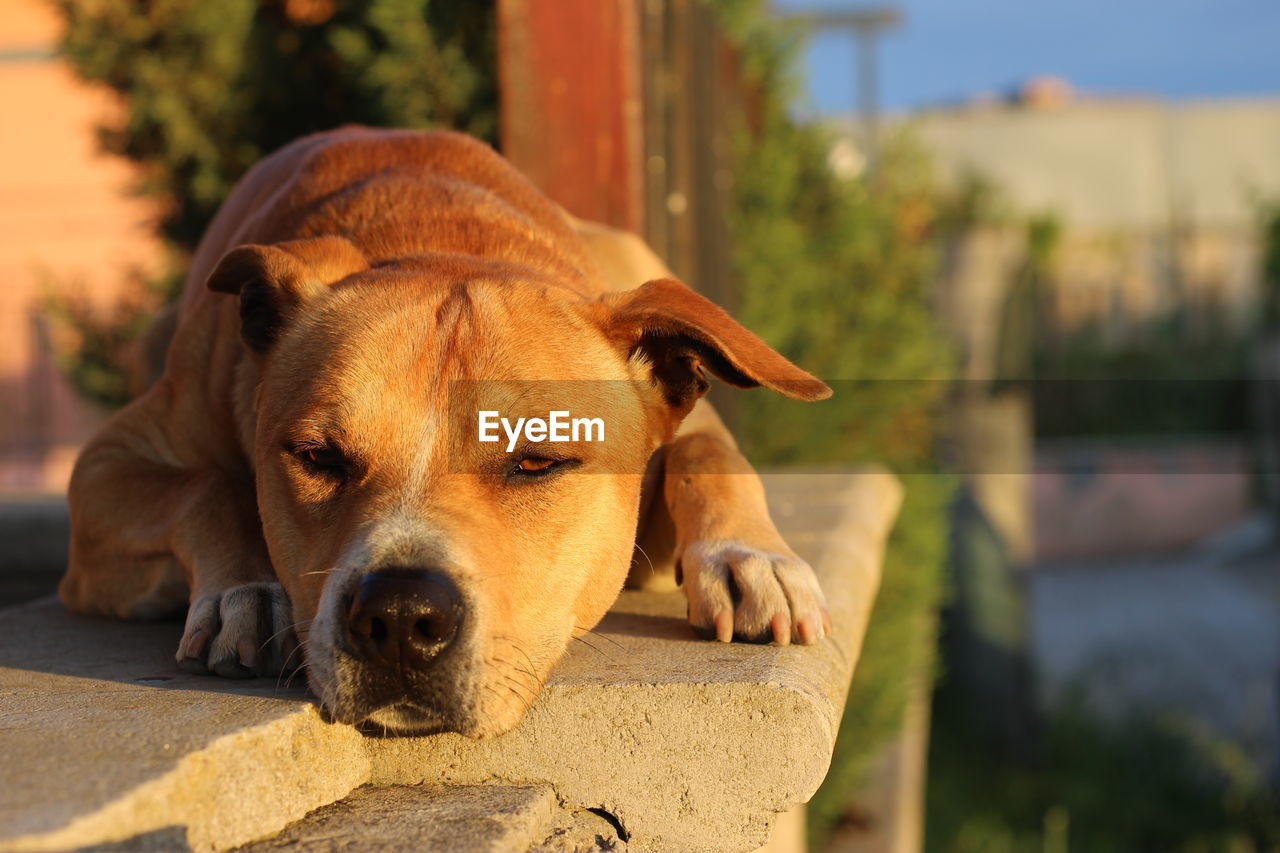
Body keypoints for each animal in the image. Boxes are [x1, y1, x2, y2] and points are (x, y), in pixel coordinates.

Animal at [60, 128, 834, 737]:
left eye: (538, 461)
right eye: (317, 457)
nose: (399, 616)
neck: (440, 233)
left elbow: (706, 448)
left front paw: (751, 558)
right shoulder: (102, 466)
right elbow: (203, 487)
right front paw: (243, 589)